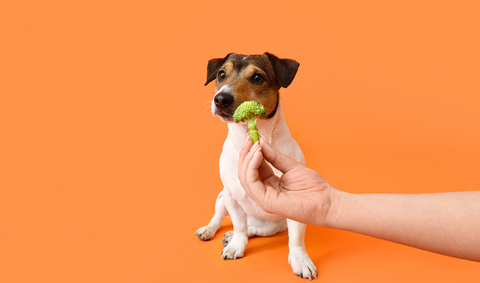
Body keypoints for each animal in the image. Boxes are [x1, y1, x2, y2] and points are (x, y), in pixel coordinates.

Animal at [197, 52, 316, 280]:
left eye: (257, 78)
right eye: (221, 74)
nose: (221, 99)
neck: (249, 136)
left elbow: (296, 238)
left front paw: (301, 260)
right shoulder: (231, 196)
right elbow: (238, 224)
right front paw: (236, 245)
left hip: (273, 225)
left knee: (254, 229)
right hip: (222, 197)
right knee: (222, 218)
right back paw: (211, 230)